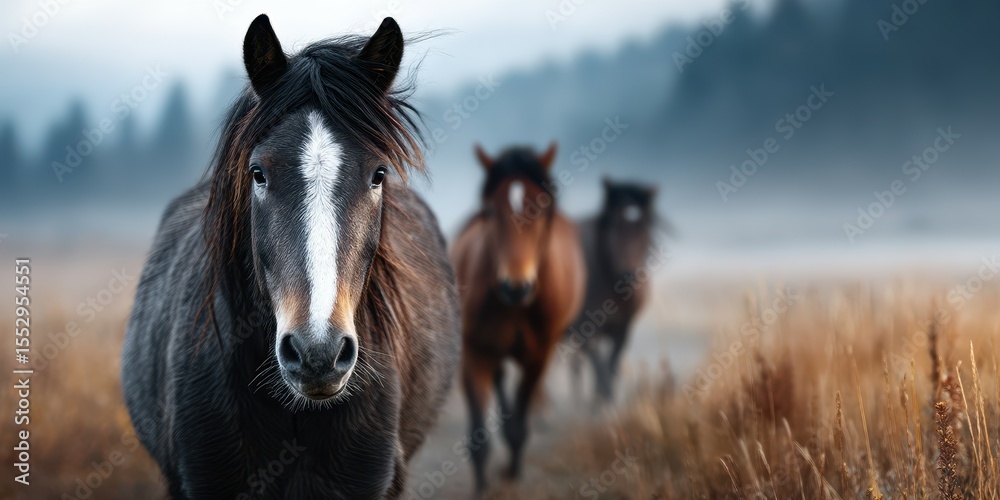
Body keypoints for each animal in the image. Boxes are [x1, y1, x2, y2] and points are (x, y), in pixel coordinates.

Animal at [450, 143, 586, 492]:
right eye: (489, 211)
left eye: (543, 209)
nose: (515, 287)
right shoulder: (474, 353)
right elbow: (479, 442)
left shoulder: (538, 357)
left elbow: (520, 425)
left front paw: (512, 473)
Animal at [565, 177, 660, 405]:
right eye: (616, 226)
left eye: (644, 228)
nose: (629, 275)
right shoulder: (584, 328)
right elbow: (599, 368)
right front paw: (600, 402)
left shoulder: (623, 328)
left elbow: (611, 366)